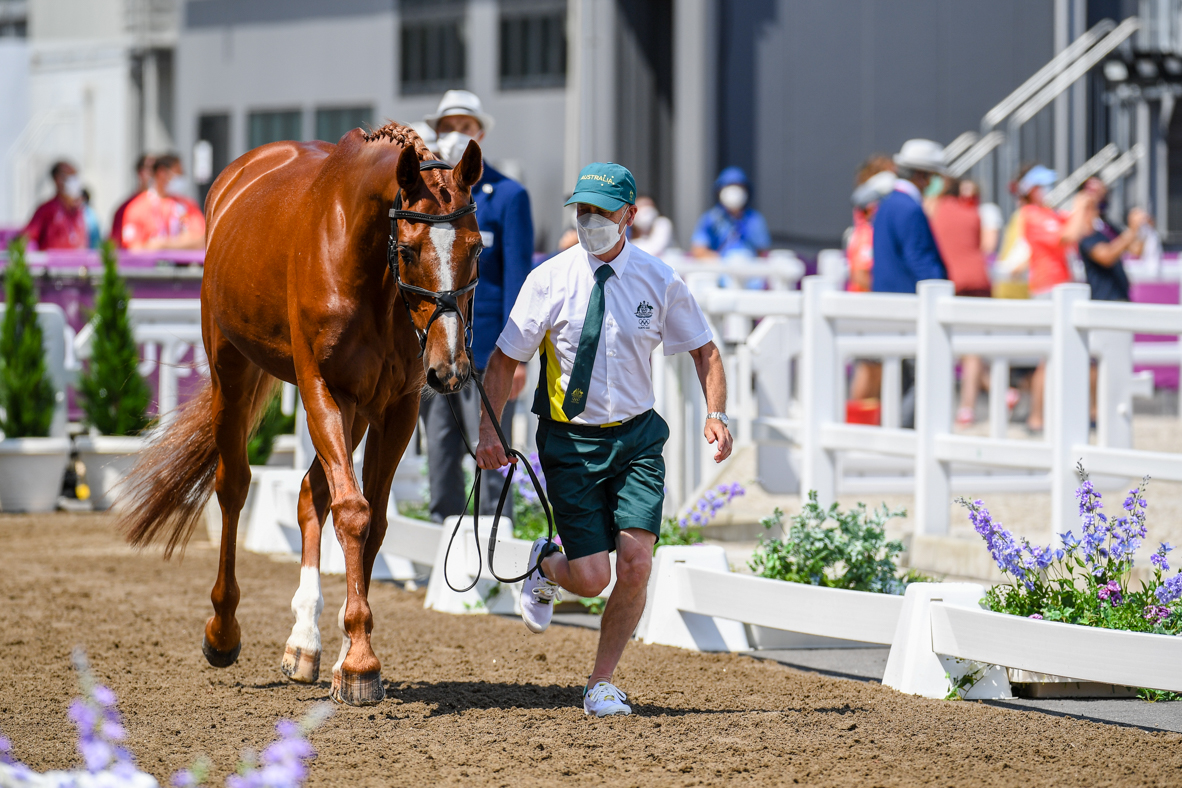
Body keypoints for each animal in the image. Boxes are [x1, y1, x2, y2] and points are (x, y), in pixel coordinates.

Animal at [121, 124, 484, 708]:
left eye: (476, 247)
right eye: (408, 250)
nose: (450, 370)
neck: (367, 263)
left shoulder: (395, 406)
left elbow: (373, 520)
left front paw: (347, 653)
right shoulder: (323, 388)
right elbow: (353, 512)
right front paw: (360, 664)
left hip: (355, 411)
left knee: (310, 494)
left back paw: (305, 643)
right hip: (233, 368)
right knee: (234, 485)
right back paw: (223, 632)